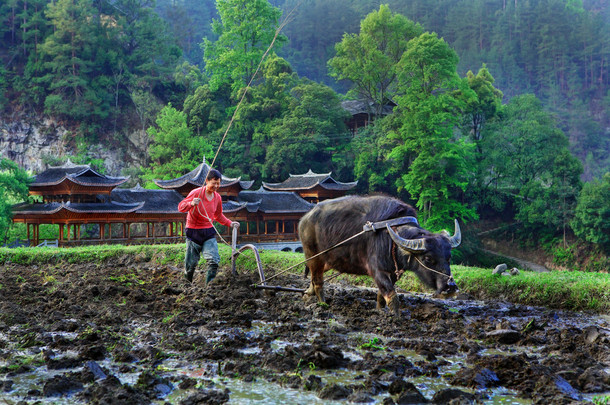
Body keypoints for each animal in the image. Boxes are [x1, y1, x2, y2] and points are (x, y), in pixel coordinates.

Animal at [296, 194, 458, 314]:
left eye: (449, 257)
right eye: (428, 258)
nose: (450, 286)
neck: (391, 238)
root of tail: (305, 218)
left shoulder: (393, 272)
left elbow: (381, 294)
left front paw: (380, 311)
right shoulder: (377, 270)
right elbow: (392, 296)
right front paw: (395, 317)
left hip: (329, 260)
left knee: (314, 276)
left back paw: (307, 294)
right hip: (314, 256)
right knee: (318, 281)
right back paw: (323, 305)